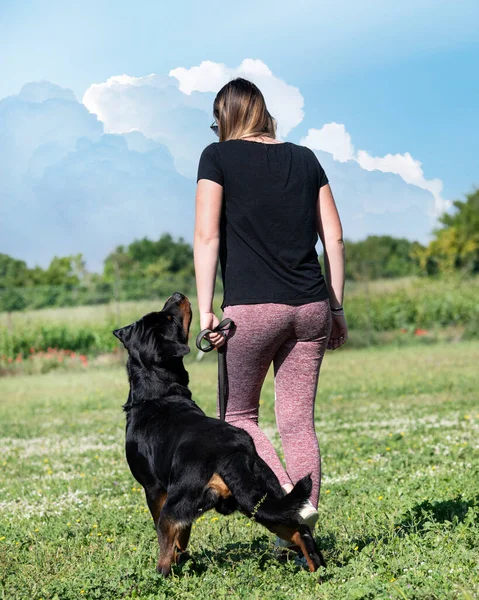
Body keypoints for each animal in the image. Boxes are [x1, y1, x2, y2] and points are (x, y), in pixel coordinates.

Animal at [114, 292, 328, 576]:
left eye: (168, 317)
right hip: (257, 496)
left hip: (180, 500)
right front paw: (184, 558)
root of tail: (234, 451)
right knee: (298, 529)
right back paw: (317, 570)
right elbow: (184, 537)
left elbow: (172, 536)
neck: (157, 393)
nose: (178, 295)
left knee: (164, 541)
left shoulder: (153, 489)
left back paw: (160, 575)